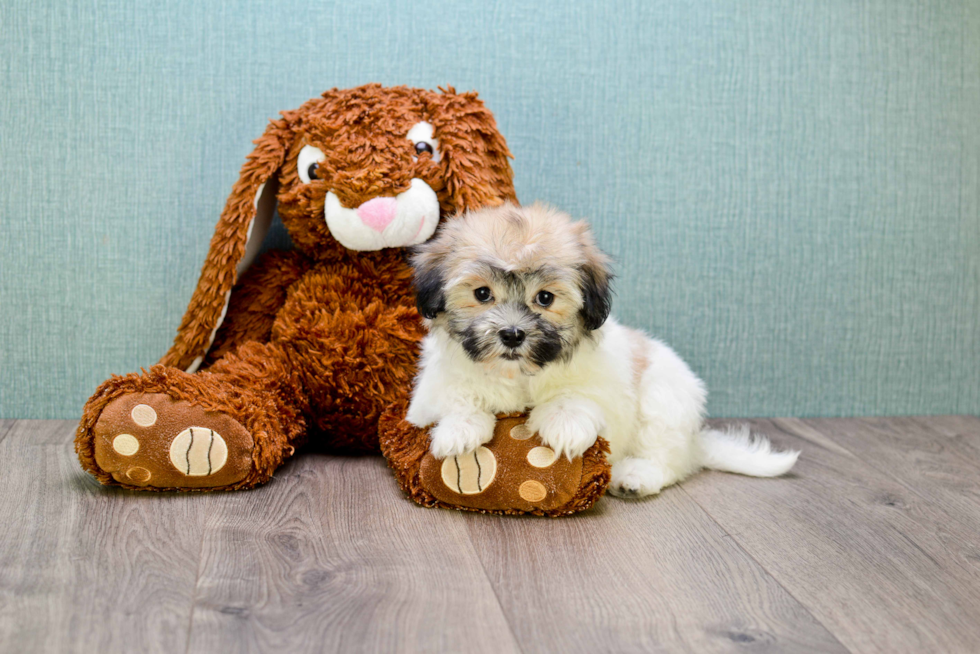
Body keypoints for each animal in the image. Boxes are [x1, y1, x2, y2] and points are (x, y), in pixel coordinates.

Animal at [404, 205, 796, 498]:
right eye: (482, 293)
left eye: (545, 298)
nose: (512, 334)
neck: (520, 375)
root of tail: (695, 442)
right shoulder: (430, 392)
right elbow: (456, 395)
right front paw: (460, 431)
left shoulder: (606, 386)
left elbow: (578, 395)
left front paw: (563, 424)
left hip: (664, 401)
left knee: (668, 458)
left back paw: (635, 477)